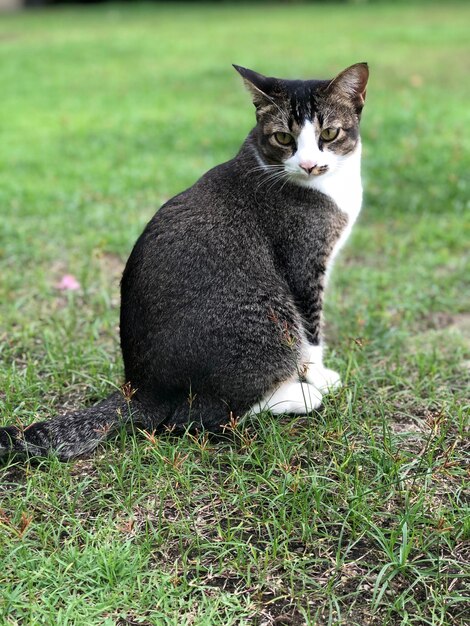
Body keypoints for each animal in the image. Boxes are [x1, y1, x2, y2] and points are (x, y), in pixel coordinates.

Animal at [0, 61, 368, 458]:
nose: (310, 164)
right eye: (284, 139)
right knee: (196, 417)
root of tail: (143, 387)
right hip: (268, 315)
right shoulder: (303, 262)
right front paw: (318, 375)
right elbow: (311, 332)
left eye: (329, 133)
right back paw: (297, 396)